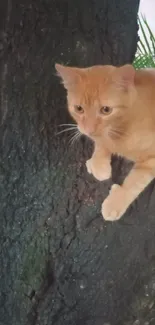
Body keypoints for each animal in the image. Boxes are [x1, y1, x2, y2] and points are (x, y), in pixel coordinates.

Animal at [55, 63, 155, 220]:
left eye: (106, 110)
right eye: (79, 108)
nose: (89, 130)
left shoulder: (152, 159)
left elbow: (135, 181)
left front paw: (115, 203)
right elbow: (101, 144)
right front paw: (98, 164)